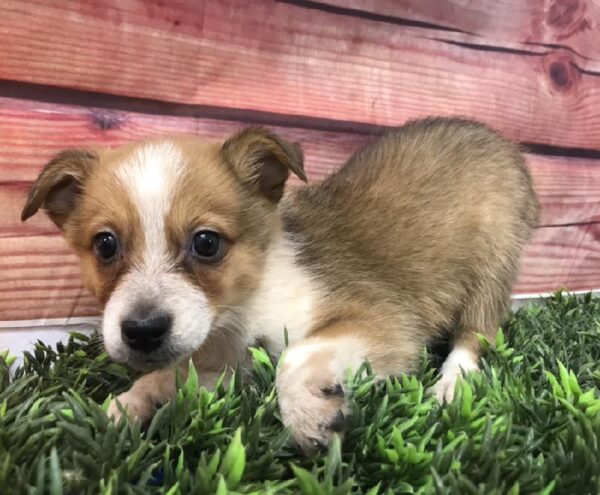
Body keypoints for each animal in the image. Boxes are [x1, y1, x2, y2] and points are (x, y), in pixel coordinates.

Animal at [22, 117, 540, 454]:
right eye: (105, 245)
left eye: (206, 242)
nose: (142, 332)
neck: (240, 310)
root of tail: (501, 143)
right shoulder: (232, 366)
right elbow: (164, 376)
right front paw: (118, 409)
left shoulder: (383, 318)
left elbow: (297, 354)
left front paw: (309, 415)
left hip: (491, 261)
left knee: (480, 331)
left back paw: (451, 386)